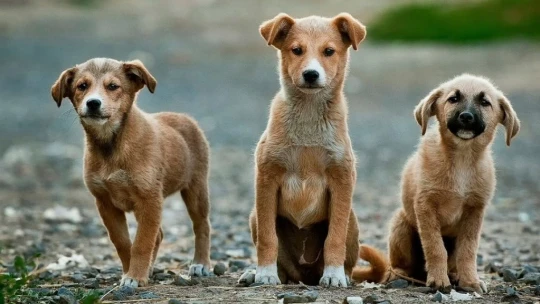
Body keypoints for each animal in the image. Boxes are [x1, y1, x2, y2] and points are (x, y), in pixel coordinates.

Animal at [50, 57, 211, 288]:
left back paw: (201, 264)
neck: (111, 146)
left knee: (202, 226)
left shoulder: (149, 199)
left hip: (196, 189)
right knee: (159, 234)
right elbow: (124, 242)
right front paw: (131, 272)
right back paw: (150, 269)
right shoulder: (105, 203)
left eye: (113, 86)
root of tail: (185, 118)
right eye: (82, 86)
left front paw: (135, 276)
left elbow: (142, 242)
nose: (93, 103)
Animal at [354, 74, 520, 294]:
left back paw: (454, 275)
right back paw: (401, 275)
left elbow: (468, 250)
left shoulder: (475, 211)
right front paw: (439, 281)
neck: (462, 160)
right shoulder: (425, 206)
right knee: (400, 265)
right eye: (453, 99)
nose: (466, 116)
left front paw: (470, 281)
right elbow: (435, 247)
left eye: (485, 102)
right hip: (401, 224)